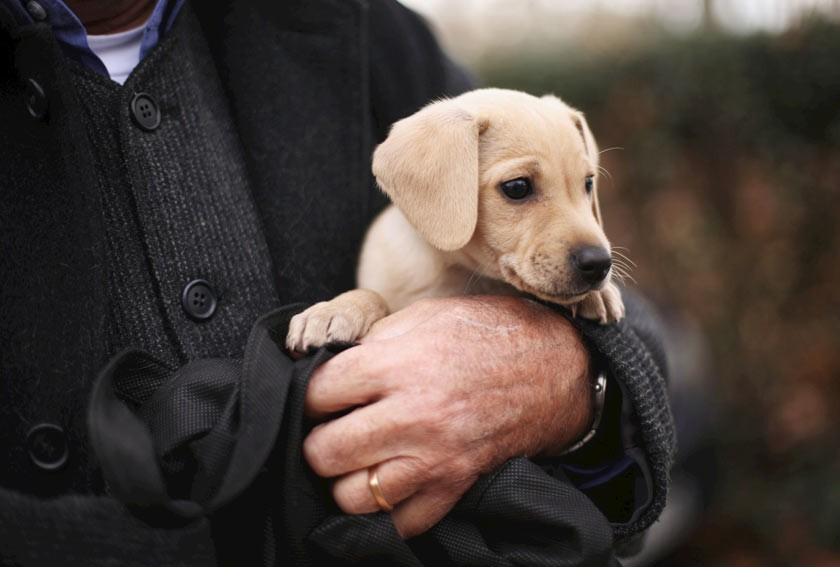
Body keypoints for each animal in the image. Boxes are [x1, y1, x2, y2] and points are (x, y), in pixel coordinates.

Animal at [288, 88, 624, 352]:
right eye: (517, 187)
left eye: (588, 183)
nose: (599, 264)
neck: (461, 274)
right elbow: (374, 295)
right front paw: (334, 310)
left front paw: (599, 294)